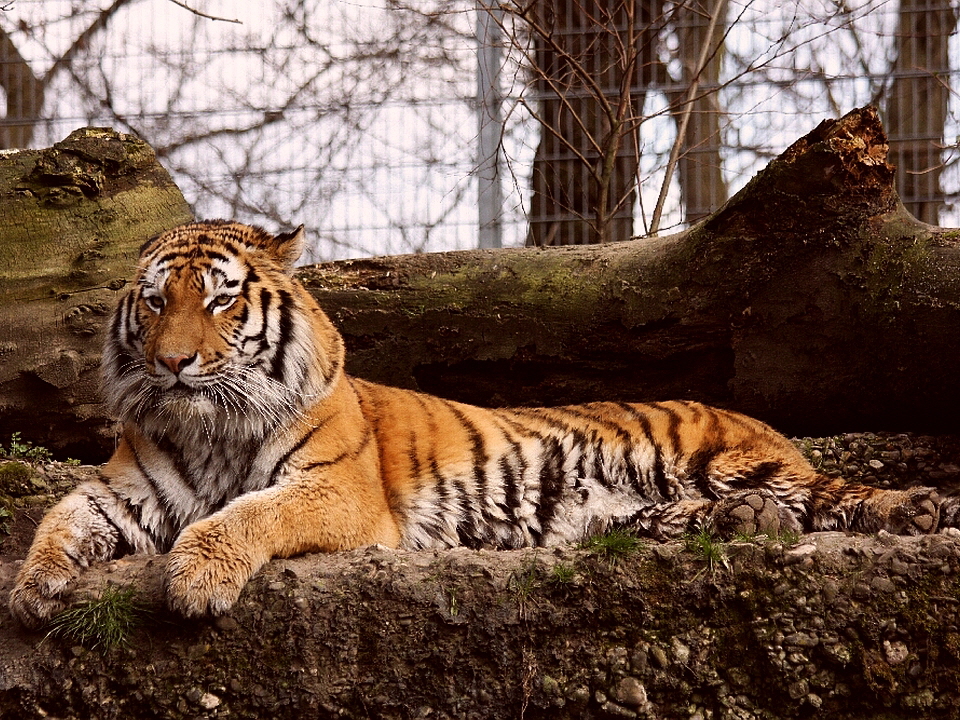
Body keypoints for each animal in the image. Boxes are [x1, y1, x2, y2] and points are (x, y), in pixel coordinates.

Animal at [7, 218, 944, 624]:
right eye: (155, 302)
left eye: (220, 301)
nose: (173, 363)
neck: (213, 427)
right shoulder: (123, 491)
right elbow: (59, 518)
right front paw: (31, 592)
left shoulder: (338, 494)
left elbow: (243, 515)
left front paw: (196, 580)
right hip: (634, 510)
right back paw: (744, 524)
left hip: (728, 458)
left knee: (834, 493)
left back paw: (918, 508)